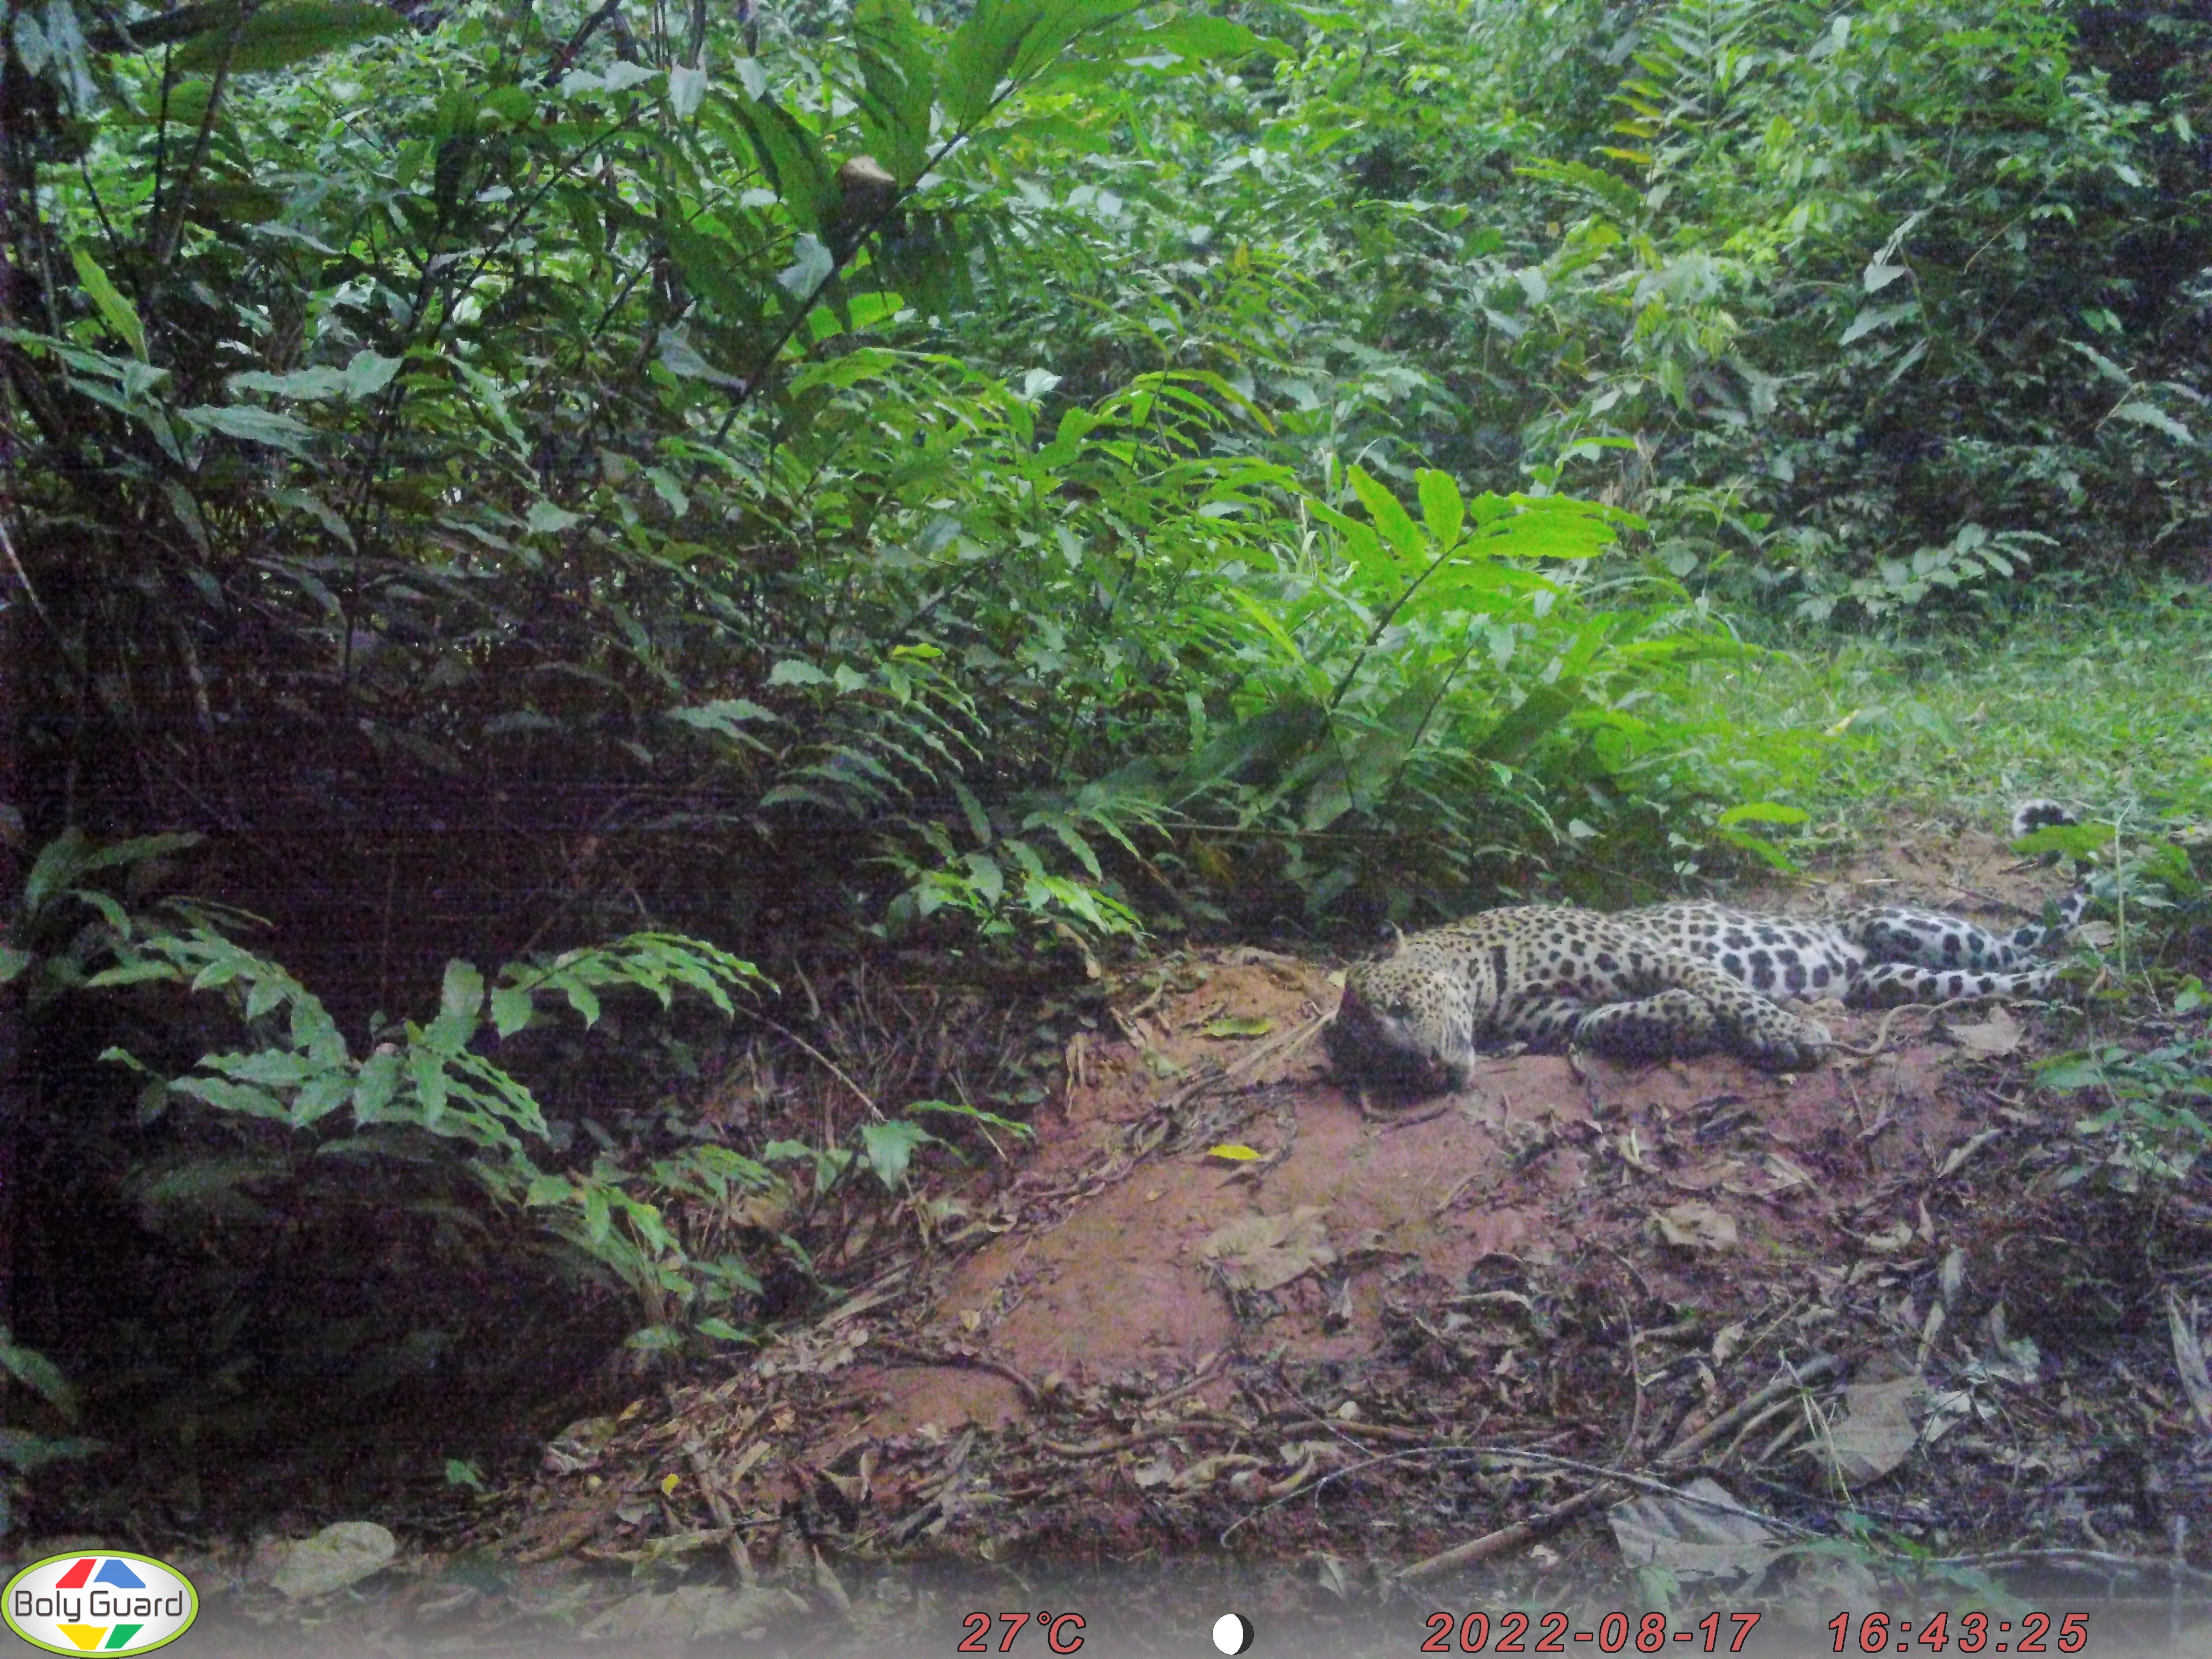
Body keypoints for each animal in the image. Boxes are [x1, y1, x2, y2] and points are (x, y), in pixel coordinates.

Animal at [1325, 800, 2087, 1093]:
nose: (1425, 1069)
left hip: (1918, 926)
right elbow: (1611, 1021)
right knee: (1993, 983)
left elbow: (1730, 989)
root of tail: (1857, 959)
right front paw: (1681, 1021)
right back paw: (2064, 984)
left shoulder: (1651, 952)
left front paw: (1789, 1035)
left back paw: (2080, 968)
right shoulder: (1566, 1016)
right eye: (1380, 1064)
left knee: (2015, 950)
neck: (1487, 979)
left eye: (1399, 1009)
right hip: (1902, 980)